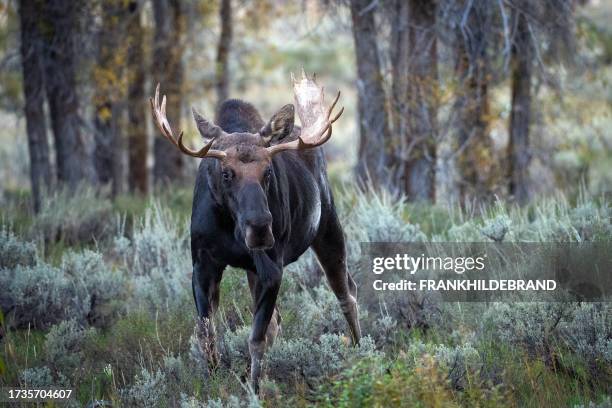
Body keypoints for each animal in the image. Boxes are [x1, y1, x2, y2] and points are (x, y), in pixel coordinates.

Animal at [149, 71, 358, 390]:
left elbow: (256, 338)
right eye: (226, 173)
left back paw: (362, 352)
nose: (260, 227)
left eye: (268, 171)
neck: (230, 229)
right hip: (254, 269)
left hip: (328, 227)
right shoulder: (202, 264)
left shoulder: (271, 269)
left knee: (347, 294)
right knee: (282, 319)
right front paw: (213, 381)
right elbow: (207, 334)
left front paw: (254, 388)